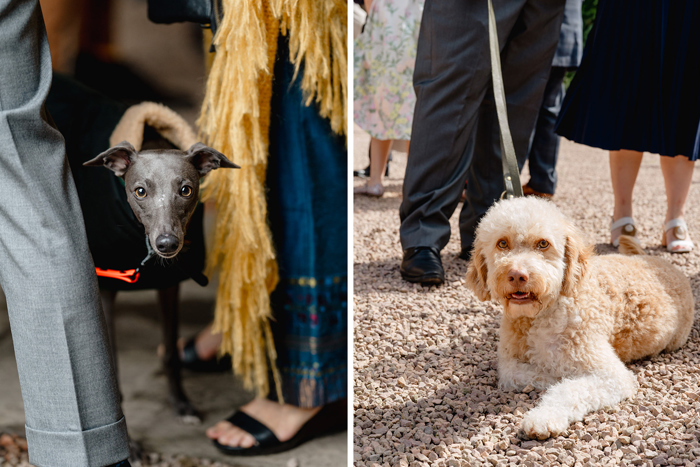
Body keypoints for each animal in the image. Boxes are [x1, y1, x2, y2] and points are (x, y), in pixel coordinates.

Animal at [464, 197, 696, 438]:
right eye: (502, 243)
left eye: (543, 244)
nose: (518, 275)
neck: (540, 316)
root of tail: (655, 259)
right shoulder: (509, 363)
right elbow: (520, 374)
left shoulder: (611, 375)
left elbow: (568, 389)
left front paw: (543, 417)